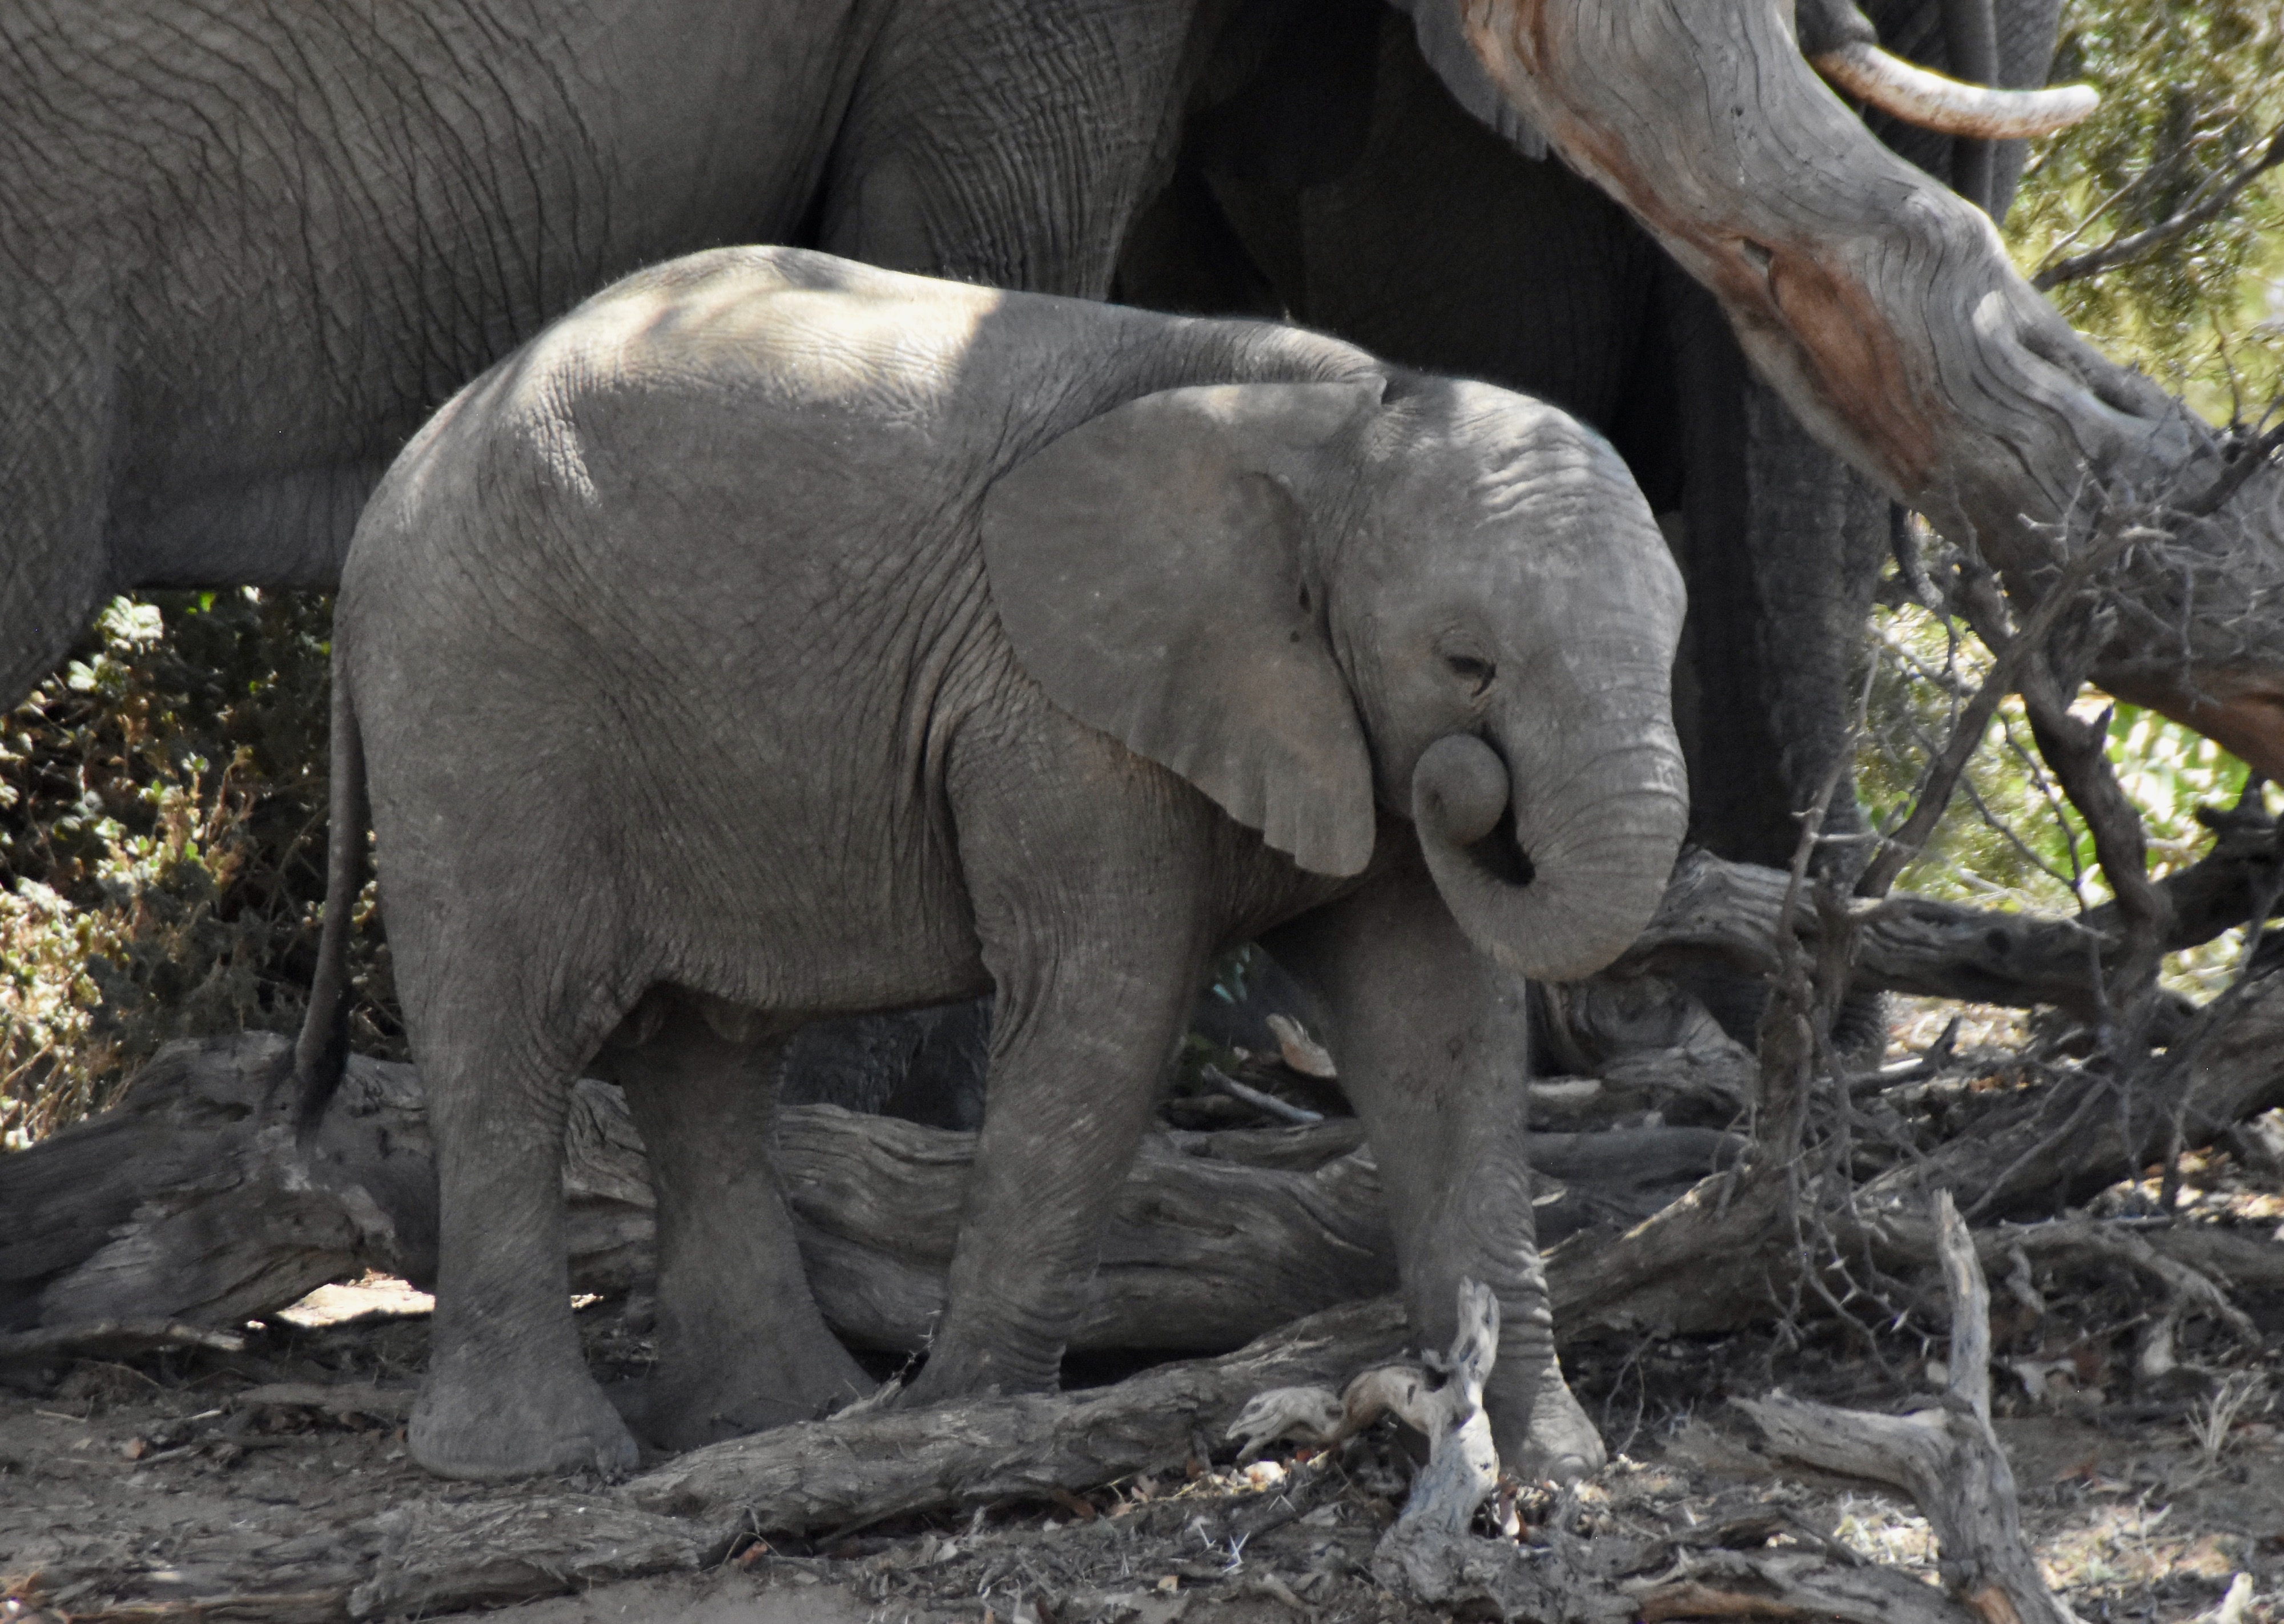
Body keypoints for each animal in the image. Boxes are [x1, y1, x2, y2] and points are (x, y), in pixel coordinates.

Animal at [295, 244, 1690, 1489]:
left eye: (1675, 644)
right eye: (1468, 665)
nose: (1471, 785)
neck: (1349, 406)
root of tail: (392, 491)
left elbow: (1441, 1037)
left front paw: (1551, 1467)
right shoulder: (1054, 712)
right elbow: (1102, 1010)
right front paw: (962, 1435)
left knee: (707, 1060)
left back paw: (774, 1418)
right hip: (480, 697)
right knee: (511, 1043)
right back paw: (539, 1463)